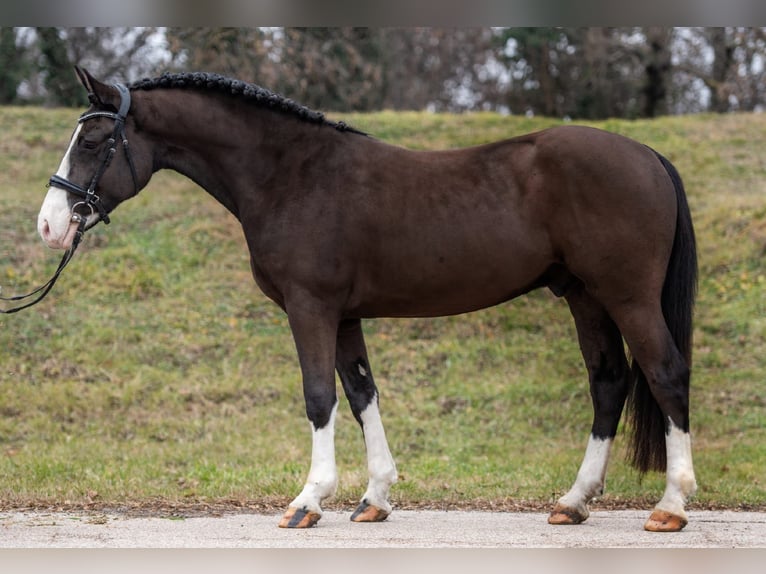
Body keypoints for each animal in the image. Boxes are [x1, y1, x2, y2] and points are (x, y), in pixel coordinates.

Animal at [37, 68, 704, 536]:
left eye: (95, 139)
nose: (49, 226)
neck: (292, 175)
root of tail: (648, 156)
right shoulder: (345, 314)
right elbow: (361, 393)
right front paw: (375, 498)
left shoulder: (310, 308)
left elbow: (320, 398)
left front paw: (308, 500)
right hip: (584, 297)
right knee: (609, 383)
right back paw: (573, 502)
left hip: (627, 297)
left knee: (665, 373)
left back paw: (671, 505)